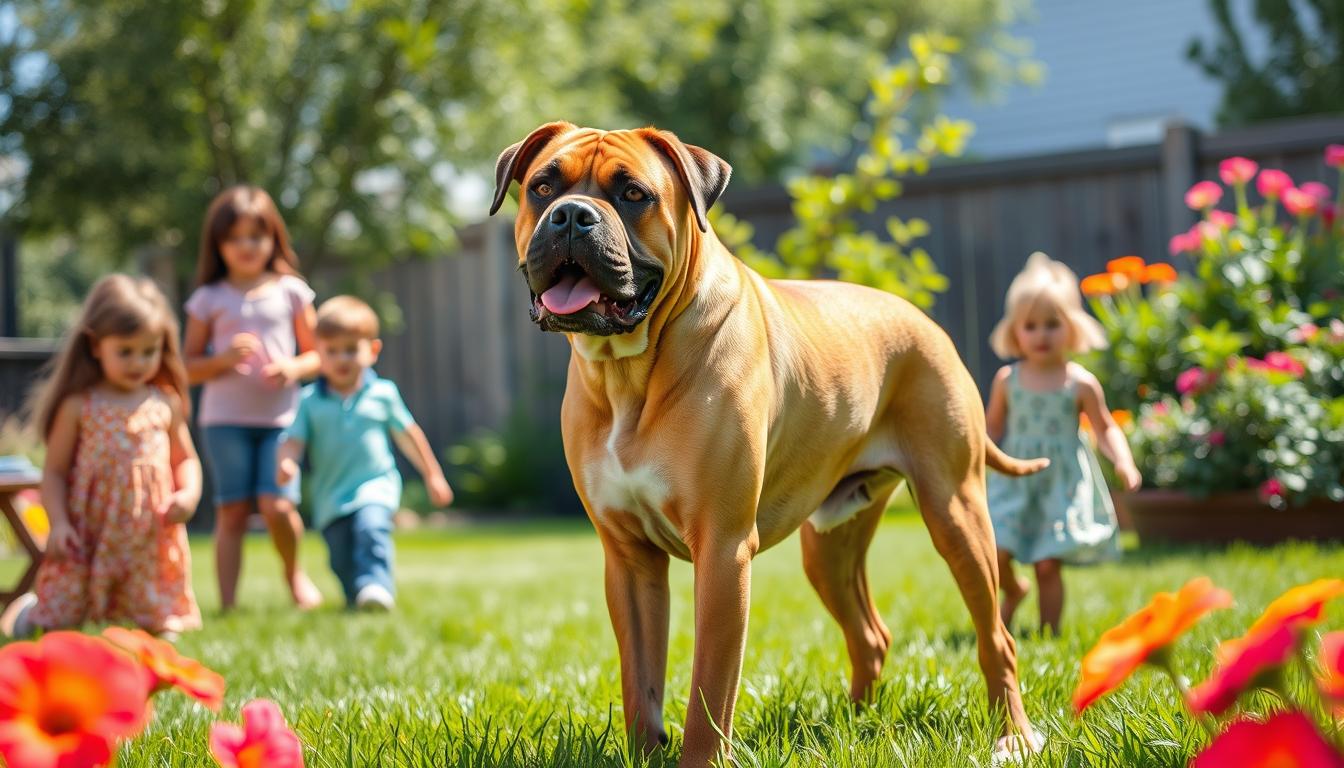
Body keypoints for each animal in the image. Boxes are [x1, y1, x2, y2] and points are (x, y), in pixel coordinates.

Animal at [489, 123, 1042, 763]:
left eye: (633, 194)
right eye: (542, 186)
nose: (572, 215)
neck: (627, 373)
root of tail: (922, 320)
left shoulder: (723, 552)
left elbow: (709, 689)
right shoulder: (628, 559)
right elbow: (640, 684)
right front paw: (646, 753)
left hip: (957, 515)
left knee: (996, 637)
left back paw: (1014, 735)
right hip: (829, 546)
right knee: (871, 635)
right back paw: (855, 722)